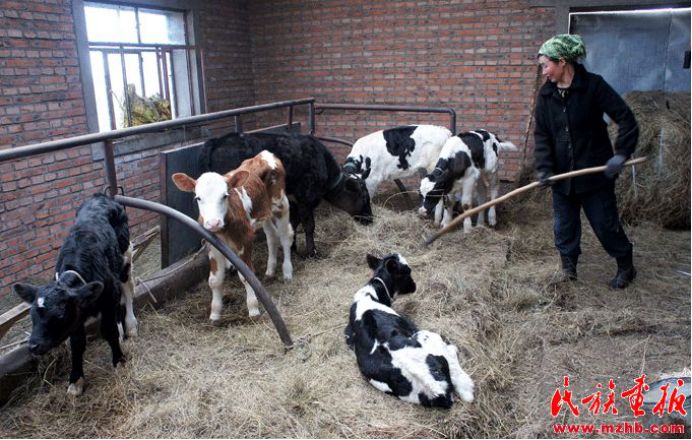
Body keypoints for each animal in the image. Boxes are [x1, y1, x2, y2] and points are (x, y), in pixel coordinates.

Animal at [13, 194, 138, 396]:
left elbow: (108, 330)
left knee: (127, 290)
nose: (32, 345)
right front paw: (76, 379)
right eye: (32, 315)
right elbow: (77, 343)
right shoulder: (78, 313)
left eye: (59, 315)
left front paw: (119, 360)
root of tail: (102, 196)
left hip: (125, 255)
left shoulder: (108, 296)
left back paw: (131, 326)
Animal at [173, 150, 293, 321]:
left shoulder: (245, 239)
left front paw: (253, 309)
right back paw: (270, 270)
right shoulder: (212, 246)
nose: (213, 223)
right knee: (271, 236)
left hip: (280, 204)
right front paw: (215, 313)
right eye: (198, 198)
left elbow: (246, 276)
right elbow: (214, 280)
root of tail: (264, 154)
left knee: (284, 236)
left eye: (225, 195)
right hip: (265, 212)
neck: (223, 229)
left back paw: (287, 272)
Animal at [199, 132, 372, 258]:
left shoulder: (293, 200)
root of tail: (218, 140)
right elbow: (309, 225)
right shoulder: (306, 198)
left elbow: (293, 223)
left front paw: (292, 247)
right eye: (364, 196)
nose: (370, 219)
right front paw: (312, 253)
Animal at [344, 253, 474, 408]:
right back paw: (467, 386)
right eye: (407, 271)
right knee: (455, 364)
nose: (414, 286)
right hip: (425, 334)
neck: (370, 294)